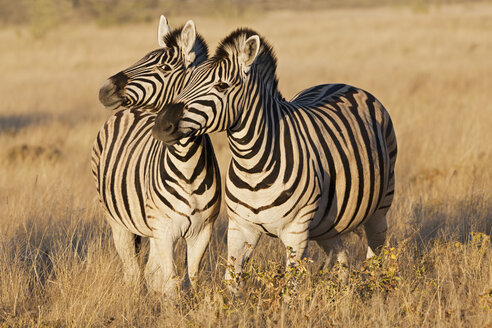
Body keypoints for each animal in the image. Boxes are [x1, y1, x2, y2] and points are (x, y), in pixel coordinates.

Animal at [92, 16, 221, 298]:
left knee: (149, 273)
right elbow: (171, 282)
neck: (187, 164)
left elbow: (191, 279)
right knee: (132, 272)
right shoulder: (164, 230)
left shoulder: (202, 231)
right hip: (117, 222)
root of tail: (132, 110)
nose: (103, 90)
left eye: (163, 67)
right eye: (143, 57)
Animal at [152, 28, 398, 284]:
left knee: (376, 255)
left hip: (380, 206)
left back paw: (377, 286)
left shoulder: (296, 231)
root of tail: (343, 84)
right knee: (341, 258)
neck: (251, 163)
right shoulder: (241, 228)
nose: (161, 125)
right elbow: (231, 279)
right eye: (187, 82)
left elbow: (290, 284)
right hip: (327, 224)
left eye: (221, 86)